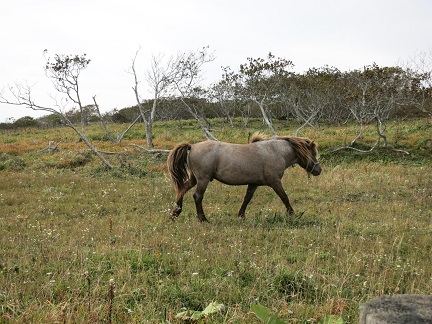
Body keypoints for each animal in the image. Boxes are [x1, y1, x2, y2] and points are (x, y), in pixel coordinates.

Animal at [167, 133, 322, 221]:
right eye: (313, 153)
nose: (318, 170)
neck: (275, 152)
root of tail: (192, 146)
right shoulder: (275, 182)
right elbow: (284, 197)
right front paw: (293, 215)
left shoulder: (253, 183)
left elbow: (247, 198)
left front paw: (241, 215)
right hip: (203, 179)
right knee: (197, 196)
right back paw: (202, 219)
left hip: (194, 179)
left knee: (182, 189)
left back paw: (175, 213)